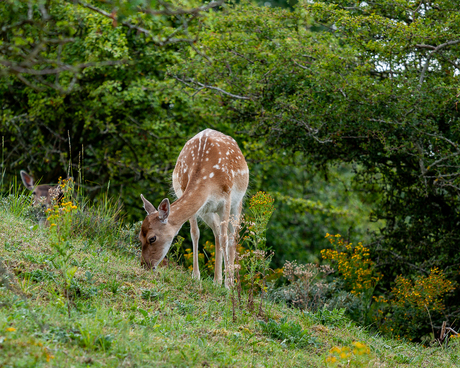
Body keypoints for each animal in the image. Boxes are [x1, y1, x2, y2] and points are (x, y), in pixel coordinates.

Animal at [139, 129, 250, 288]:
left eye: (152, 238)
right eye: (139, 237)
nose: (145, 265)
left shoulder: (227, 199)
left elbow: (225, 239)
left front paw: (229, 286)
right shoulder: (188, 196)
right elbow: (195, 233)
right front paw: (196, 276)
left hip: (237, 202)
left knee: (232, 237)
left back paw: (229, 282)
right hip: (207, 210)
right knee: (216, 232)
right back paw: (216, 281)